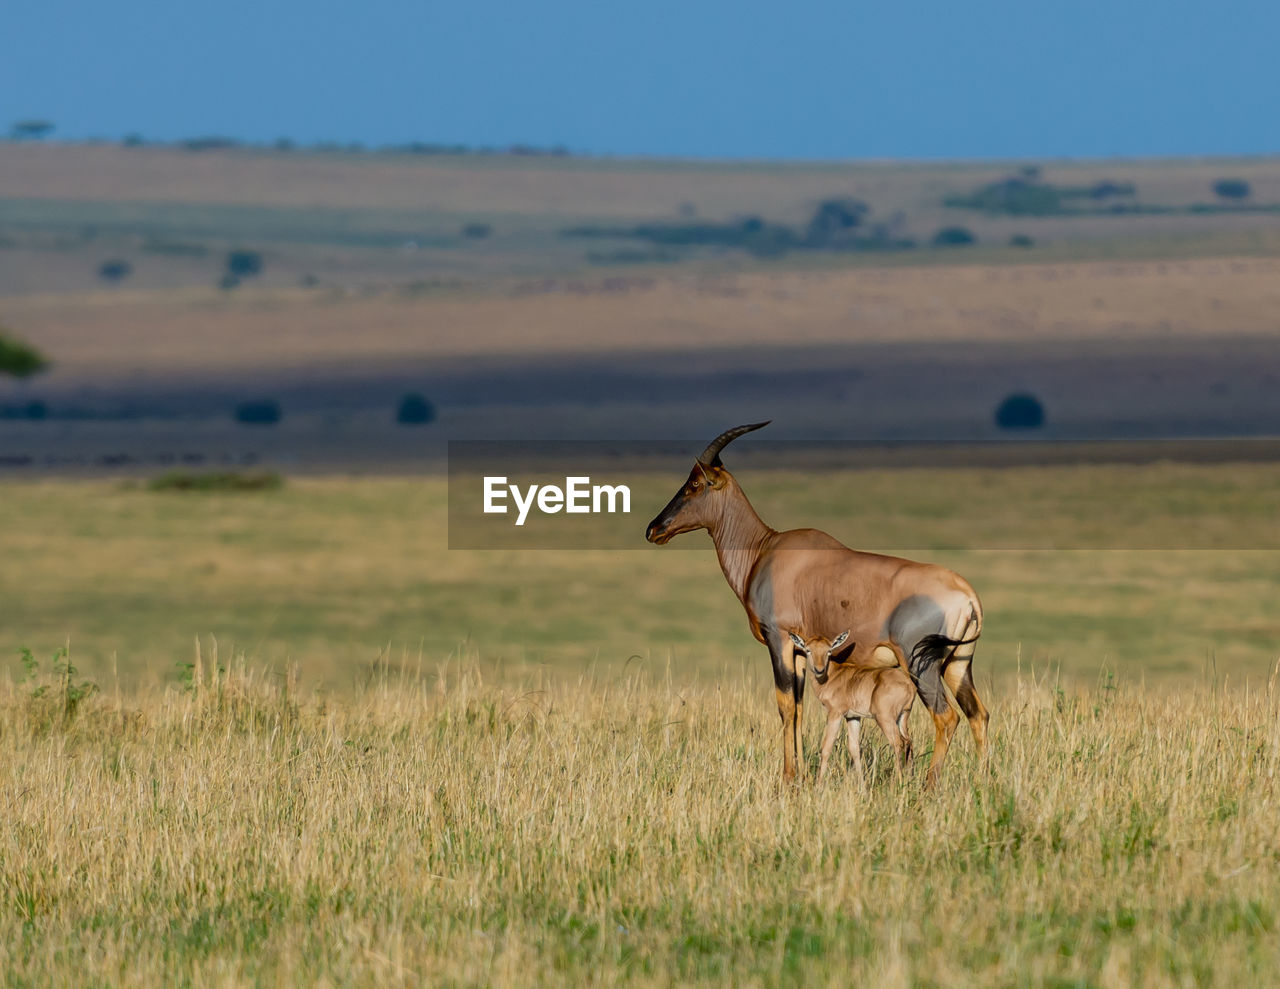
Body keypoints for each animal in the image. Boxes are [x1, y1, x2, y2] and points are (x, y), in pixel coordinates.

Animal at [783, 629, 916, 783]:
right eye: (808, 650)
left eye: (829, 650)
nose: (819, 670)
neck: (834, 674)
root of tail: (909, 685)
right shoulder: (853, 717)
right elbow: (854, 749)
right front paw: (862, 785)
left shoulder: (835, 714)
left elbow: (826, 747)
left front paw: (819, 784)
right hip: (903, 717)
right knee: (908, 741)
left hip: (885, 718)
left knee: (897, 743)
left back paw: (898, 782)